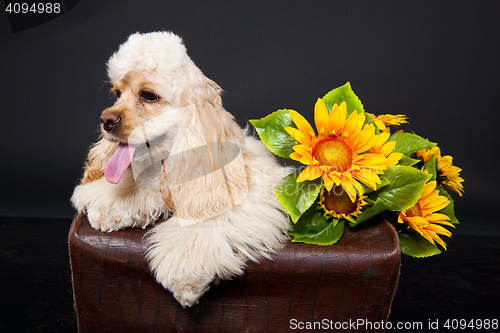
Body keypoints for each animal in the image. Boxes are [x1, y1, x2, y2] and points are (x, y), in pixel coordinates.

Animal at [70, 31, 290, 306]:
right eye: (117, 92)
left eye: (149, 95)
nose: (106, 121)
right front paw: (107, 210)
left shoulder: (246, 195)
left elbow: (203, 223)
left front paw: (186, 277)